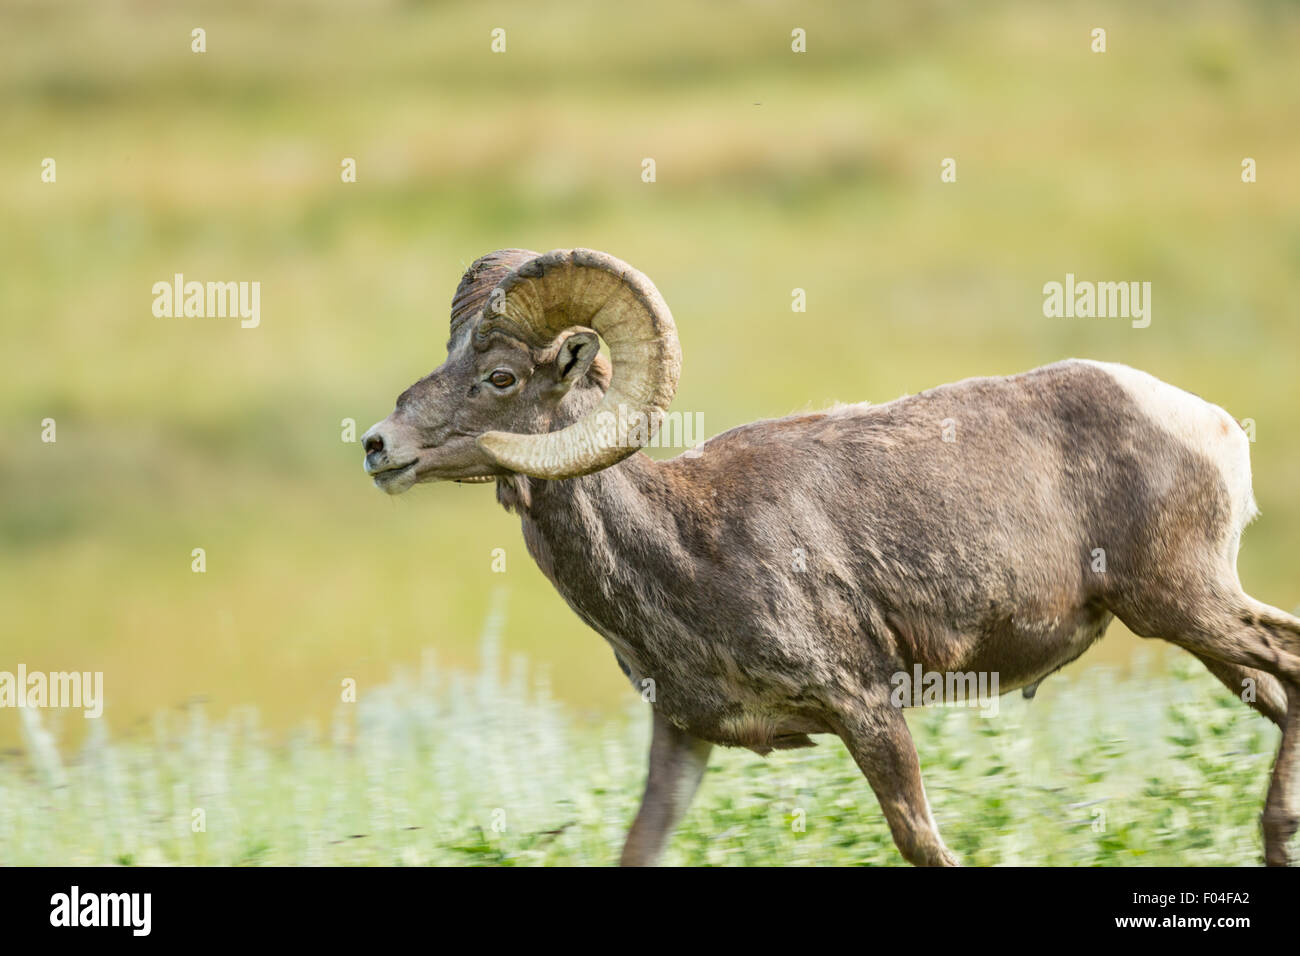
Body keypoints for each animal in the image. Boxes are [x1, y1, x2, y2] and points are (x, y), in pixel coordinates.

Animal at [361, 247, 1300, 866]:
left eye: (502, 378)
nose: (378, 446)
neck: (684, 546)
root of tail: (1213, 425)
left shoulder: (866, 710)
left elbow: (922, 844)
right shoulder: (682, 738)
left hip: (1184, 606)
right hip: (1194, 628)